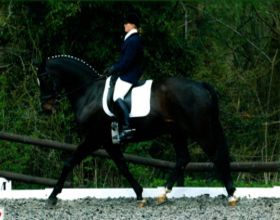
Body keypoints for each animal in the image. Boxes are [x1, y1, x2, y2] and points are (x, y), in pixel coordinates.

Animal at [36, 54, 238, 206]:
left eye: (44, 77)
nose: (46, 106)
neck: (89, 93)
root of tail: (201, 85)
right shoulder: (108, 141)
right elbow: (123, 166)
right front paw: (140, 194)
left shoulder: (95, 138)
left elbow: (69, 162)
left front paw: (52, 196)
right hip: (177, 131)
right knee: (183, 158)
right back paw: (163, 194)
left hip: (200, 130)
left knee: (216, 155)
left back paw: (231, 195)